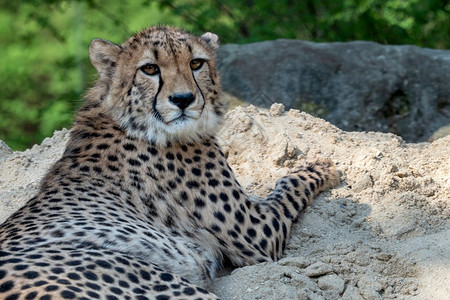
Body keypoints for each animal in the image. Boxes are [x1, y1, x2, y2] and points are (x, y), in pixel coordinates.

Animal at [0, 26, 338, 300]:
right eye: (149, 68)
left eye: (196, 63)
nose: (183, 99)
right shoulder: (259, 234)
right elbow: (288, 185)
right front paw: (320, 167)